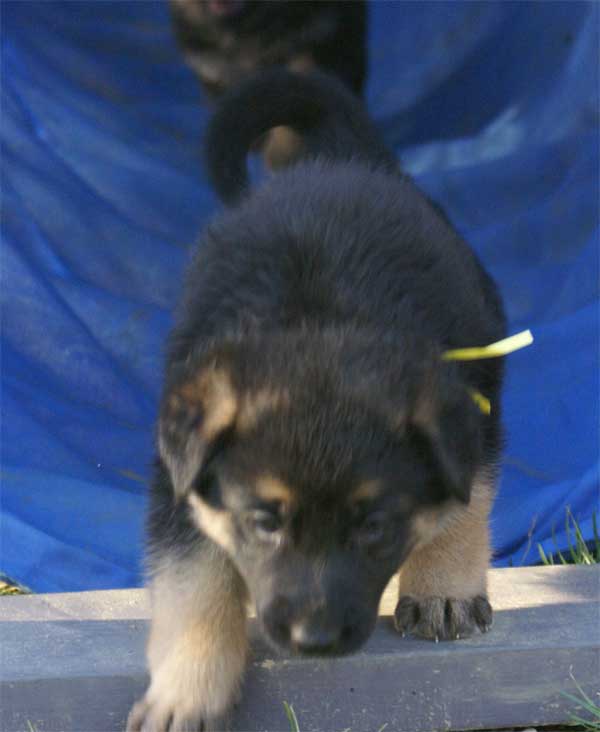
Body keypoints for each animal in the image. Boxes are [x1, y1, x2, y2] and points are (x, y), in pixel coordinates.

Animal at [127, 68, 506, 732]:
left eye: (376, 526)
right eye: (263, 522)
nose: (315, 639)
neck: (320, 323)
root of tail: (342, 158)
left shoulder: (472, 407)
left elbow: (465, 503)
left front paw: (442, 591)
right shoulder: (180, 478)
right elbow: (194, 582)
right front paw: (185, 693)